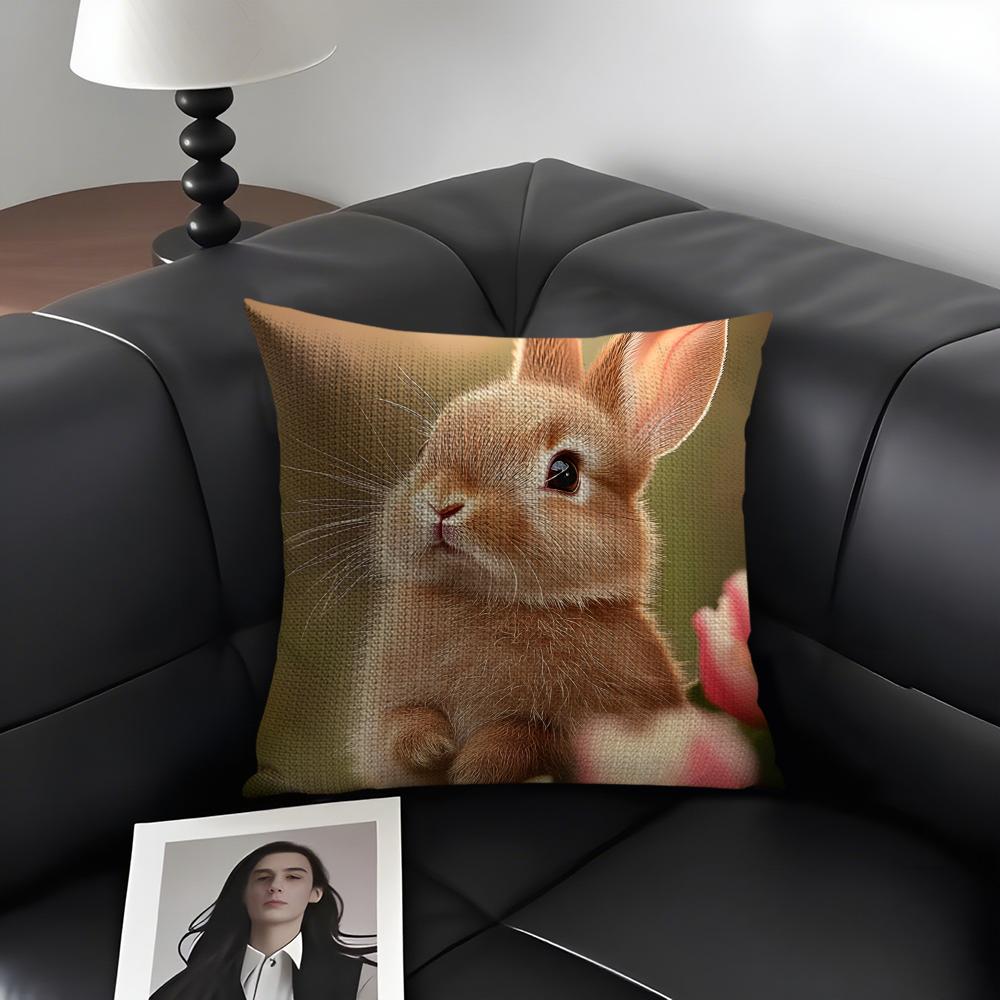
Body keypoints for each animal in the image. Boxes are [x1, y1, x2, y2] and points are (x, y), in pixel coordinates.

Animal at [348, 320, 729, 787]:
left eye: (564, 473)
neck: (495, 602)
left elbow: (529, 737)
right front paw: (433, 746)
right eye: (424, 450)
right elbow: (401, 725)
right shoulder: (384, 719)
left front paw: (474, 765)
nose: (443, 504)